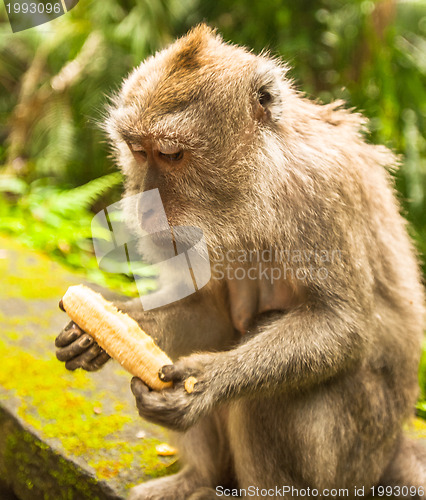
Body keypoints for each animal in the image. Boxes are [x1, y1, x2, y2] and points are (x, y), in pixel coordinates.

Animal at [55, 25, 424, 500]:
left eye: (170, 154)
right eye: (137, 150)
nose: (146, 204)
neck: (257, 185)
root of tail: (392, 449)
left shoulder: (323, 189)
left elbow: (341, 325)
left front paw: (205, 385)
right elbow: (203, 313)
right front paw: (96, 330)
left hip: (351, 457)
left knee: (269, 395)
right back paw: (198, 478)